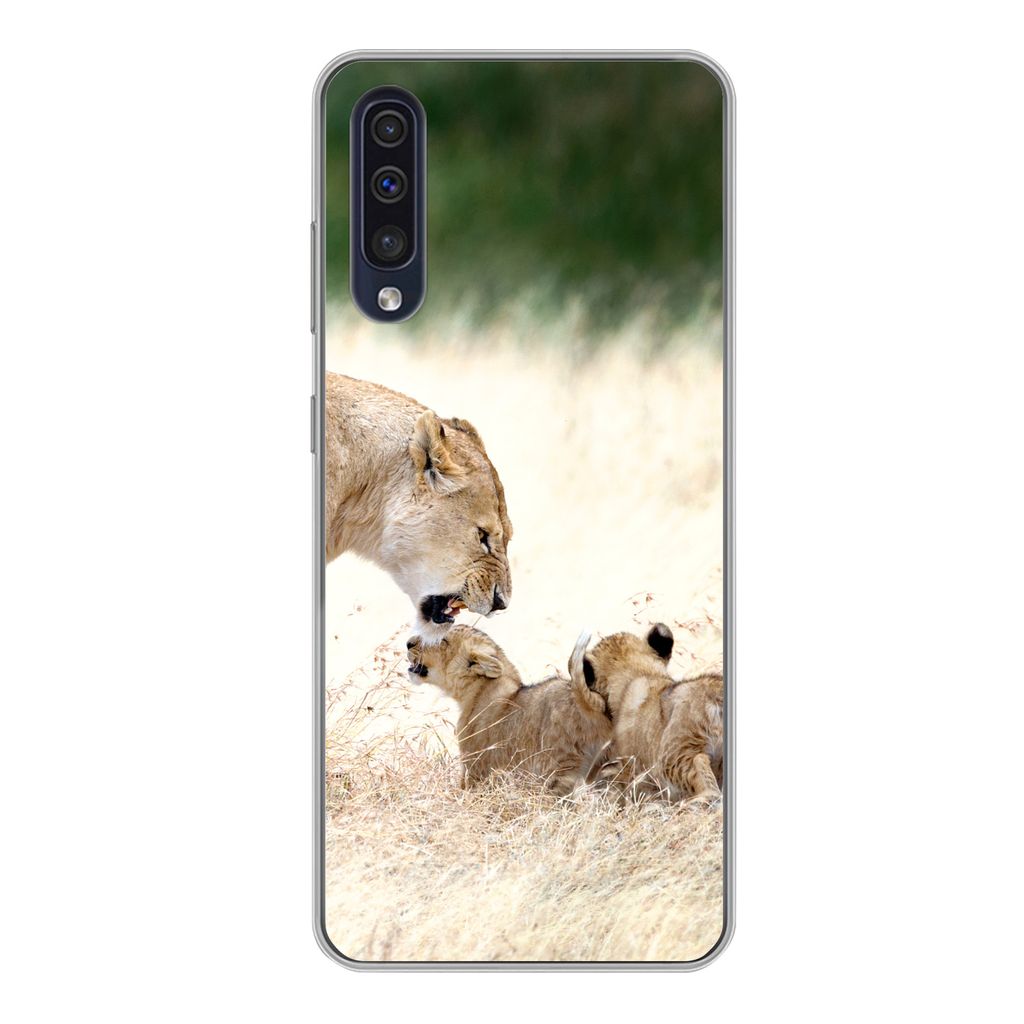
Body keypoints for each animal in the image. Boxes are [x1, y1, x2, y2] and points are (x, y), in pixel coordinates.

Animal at [406, 625, 612, 794]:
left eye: (442, 640)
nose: (408, 643)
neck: (478, 688)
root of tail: (588, 700)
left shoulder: (475, 768)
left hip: (557, 769)